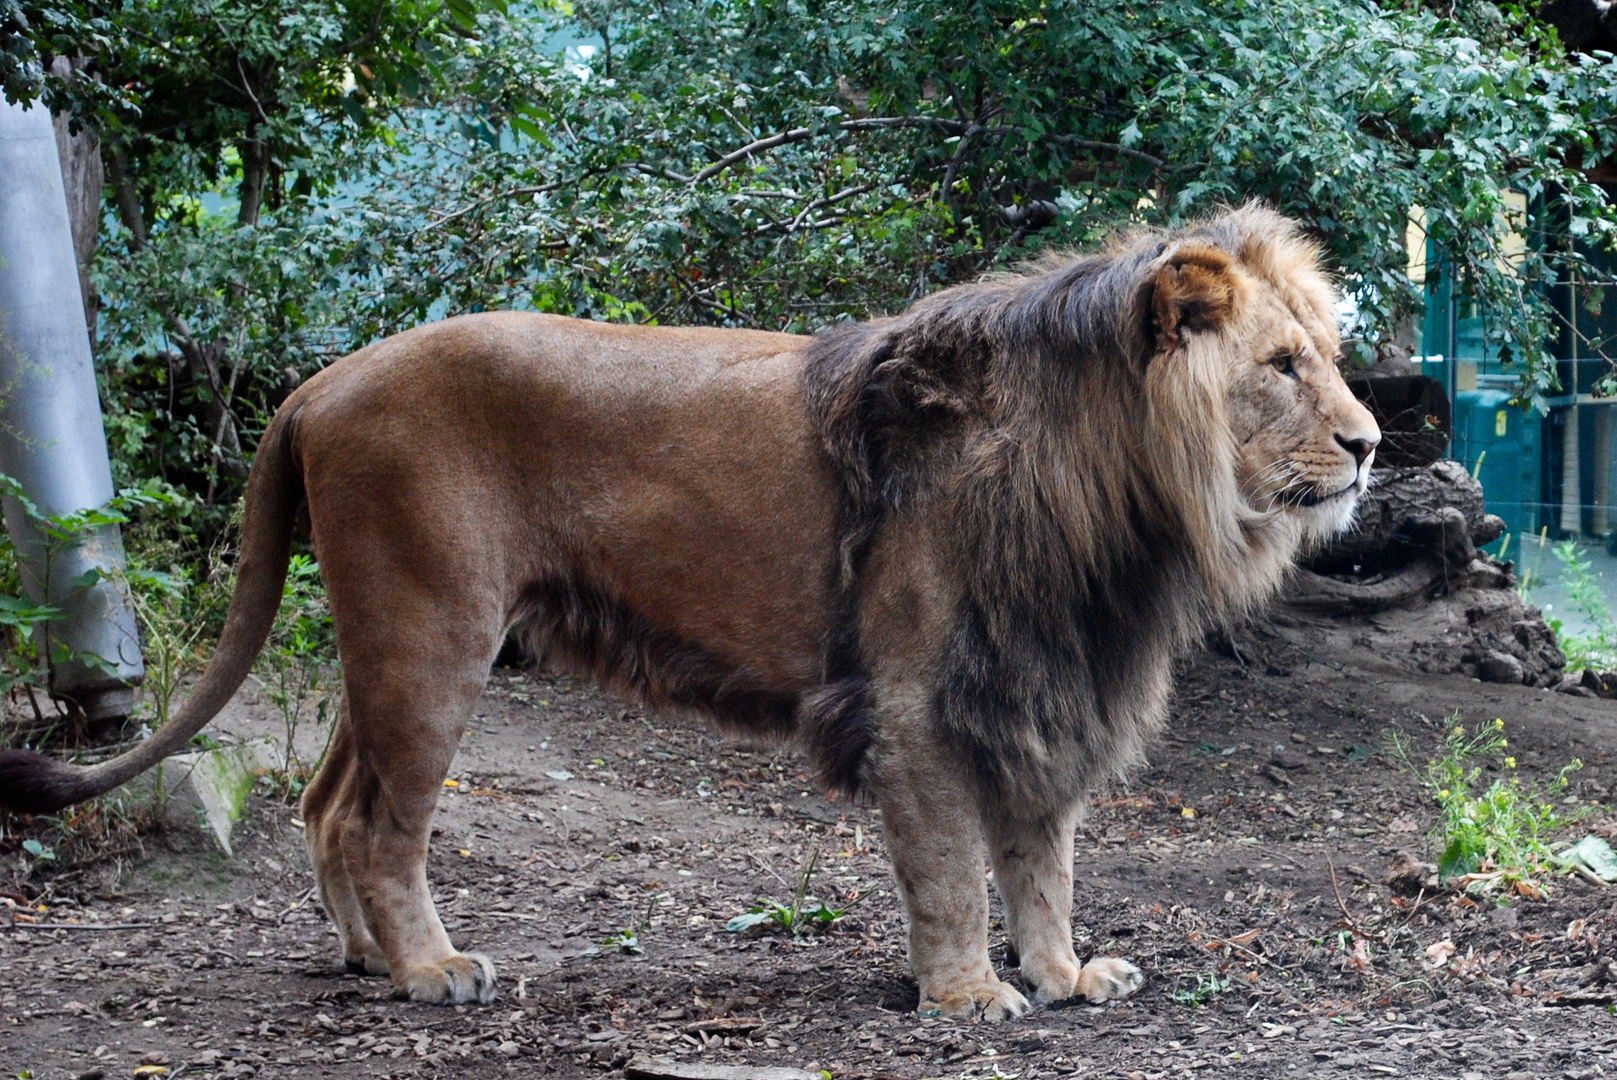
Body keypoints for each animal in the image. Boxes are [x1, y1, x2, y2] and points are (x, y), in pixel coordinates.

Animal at [0, 204, 1377, 1021]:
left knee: (329, 800)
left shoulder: (1044, 682)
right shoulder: (917, 699)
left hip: (378, 641)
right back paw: (433, 971)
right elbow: (952, 868)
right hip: (433, 633)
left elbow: (1044, 858)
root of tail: (322, 380)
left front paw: (1064, 974)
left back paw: (364, 959)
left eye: (1332, 356)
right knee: (385, 823)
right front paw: (967, 996)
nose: (1370, 445)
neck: (1121, 501)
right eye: (1282, 367)